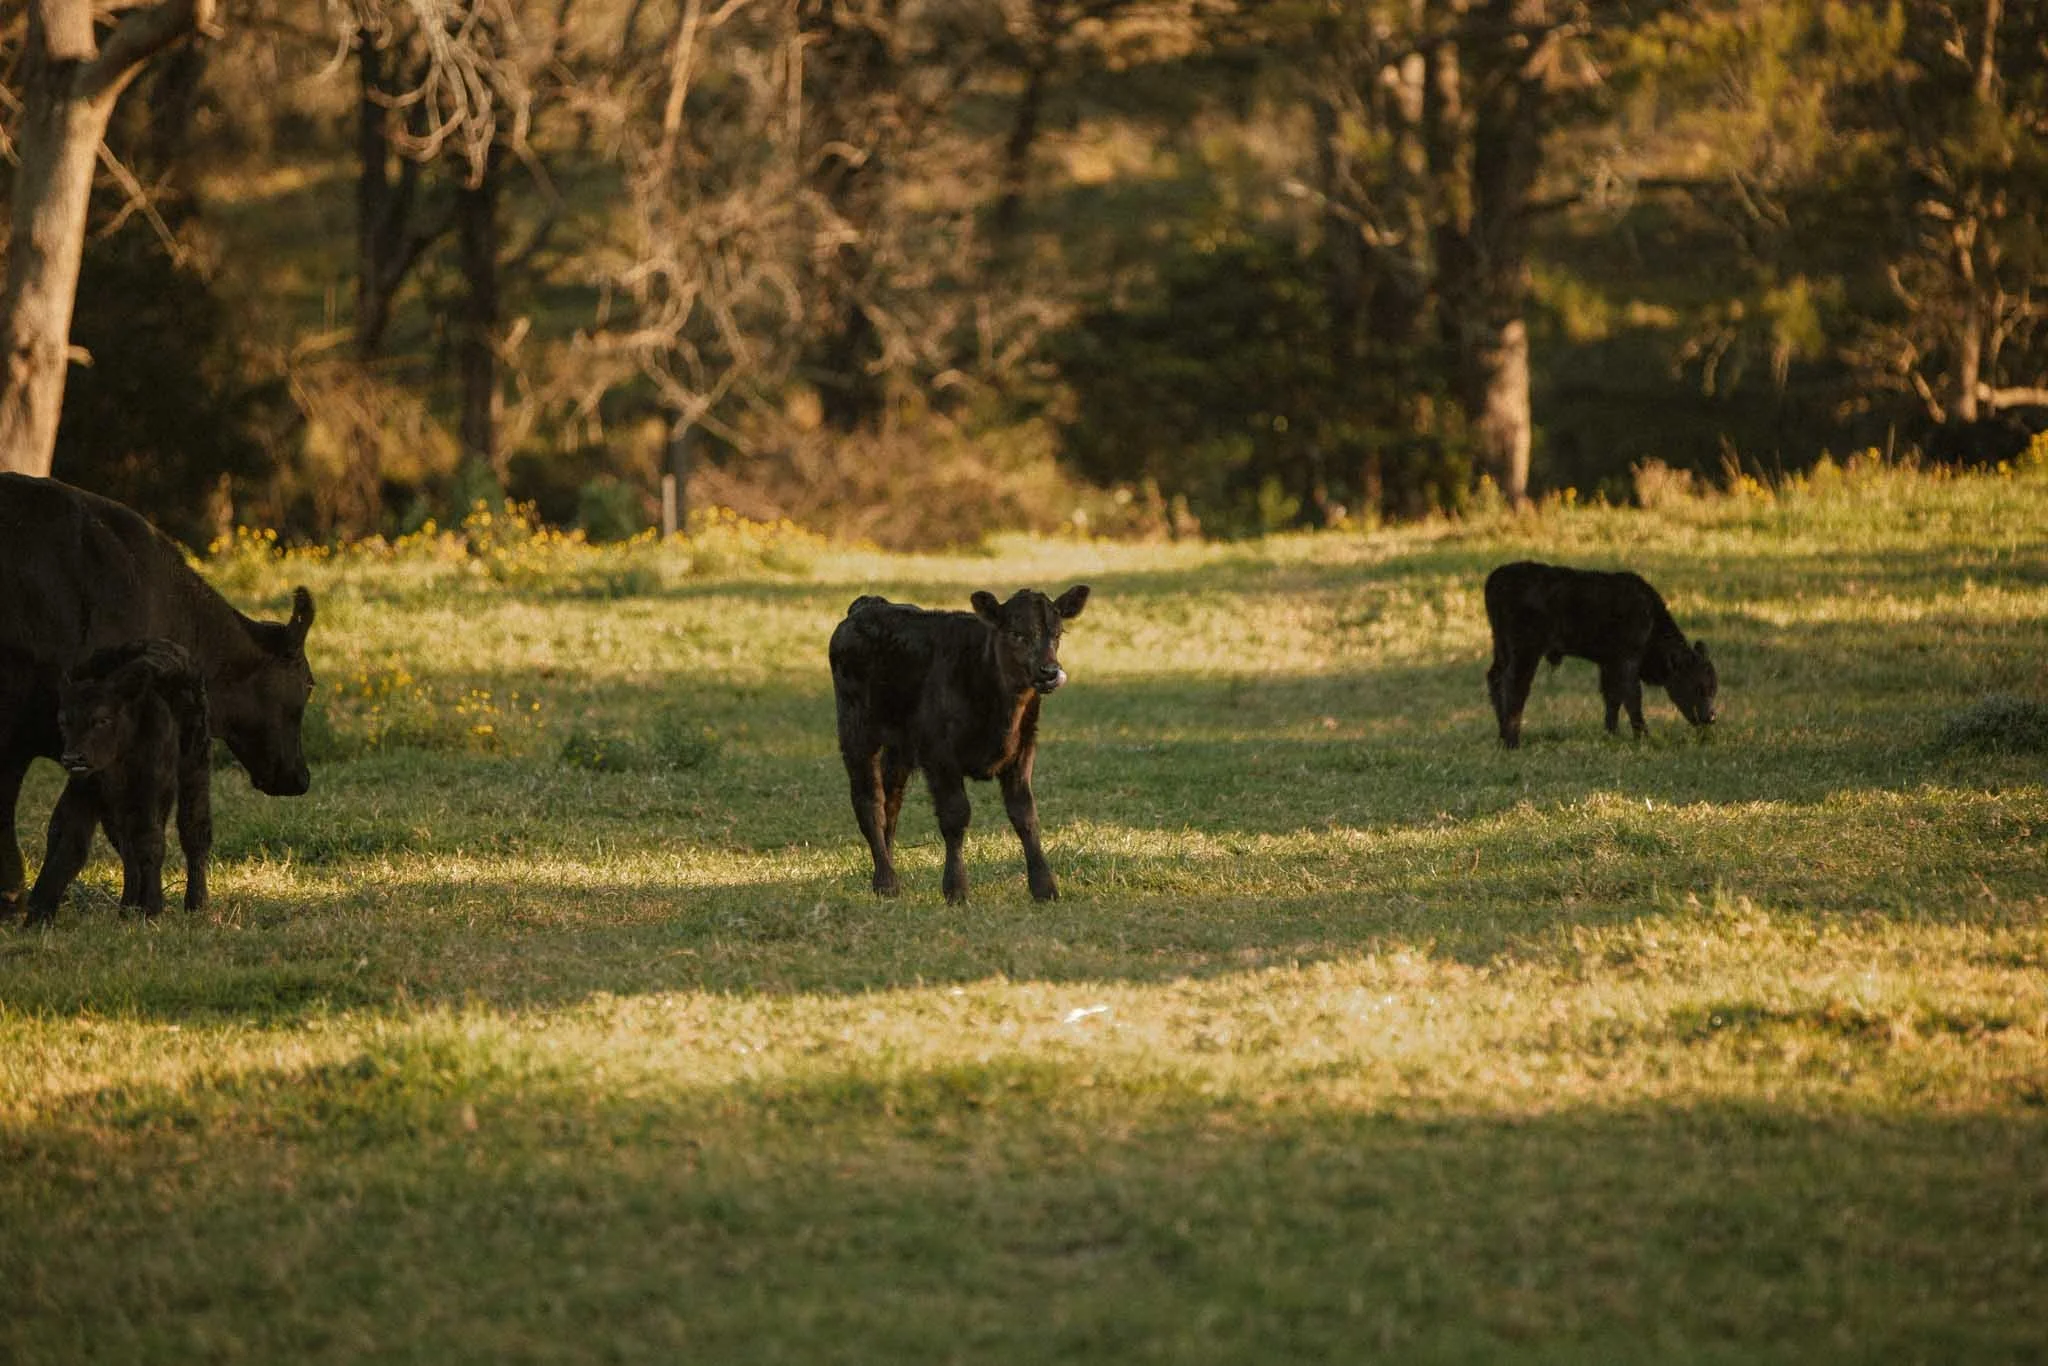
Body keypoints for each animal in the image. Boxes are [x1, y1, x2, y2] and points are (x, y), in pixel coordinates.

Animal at [27, 640, 212, 923]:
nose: (72, 757)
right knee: (125, 846)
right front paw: (37, 914)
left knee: (194, 829)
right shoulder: (84, 788)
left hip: (194, 762)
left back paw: (196, 904)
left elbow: (149, 840)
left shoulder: (150, 786)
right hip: (115, 808)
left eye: (102, 719)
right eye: (63, 721)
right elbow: (67, 838)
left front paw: (152, 910)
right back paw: (127, 909)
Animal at [829, 585, 1090, 903]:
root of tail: (867, 604)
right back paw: (886, 882)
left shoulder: (1022, 750)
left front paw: (1044, 887)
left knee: (891, 803)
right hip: (855, 731)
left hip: (899, 747)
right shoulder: (939, 754)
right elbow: (955, 815)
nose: (1049, 671)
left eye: (1057, 633)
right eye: (1016, 634)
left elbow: (1025, 815)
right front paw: (956, 889)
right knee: (869, 802)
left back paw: (887, 871)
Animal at [1484, 560, 1717, 748]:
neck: (1650, 618)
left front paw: (1612, 734)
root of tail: (1498, 577)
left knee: (1495, 678)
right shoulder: (1627, 660)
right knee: (1515, 685)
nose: (1711, 717)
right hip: (1525, 651)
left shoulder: (1608, 663)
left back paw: (1502, 736)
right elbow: (1632, 697)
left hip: (1501, 647)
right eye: (1698, 687)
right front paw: (1643, 737)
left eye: (1714, 688)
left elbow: (1612, 698)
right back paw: (1512, 742)